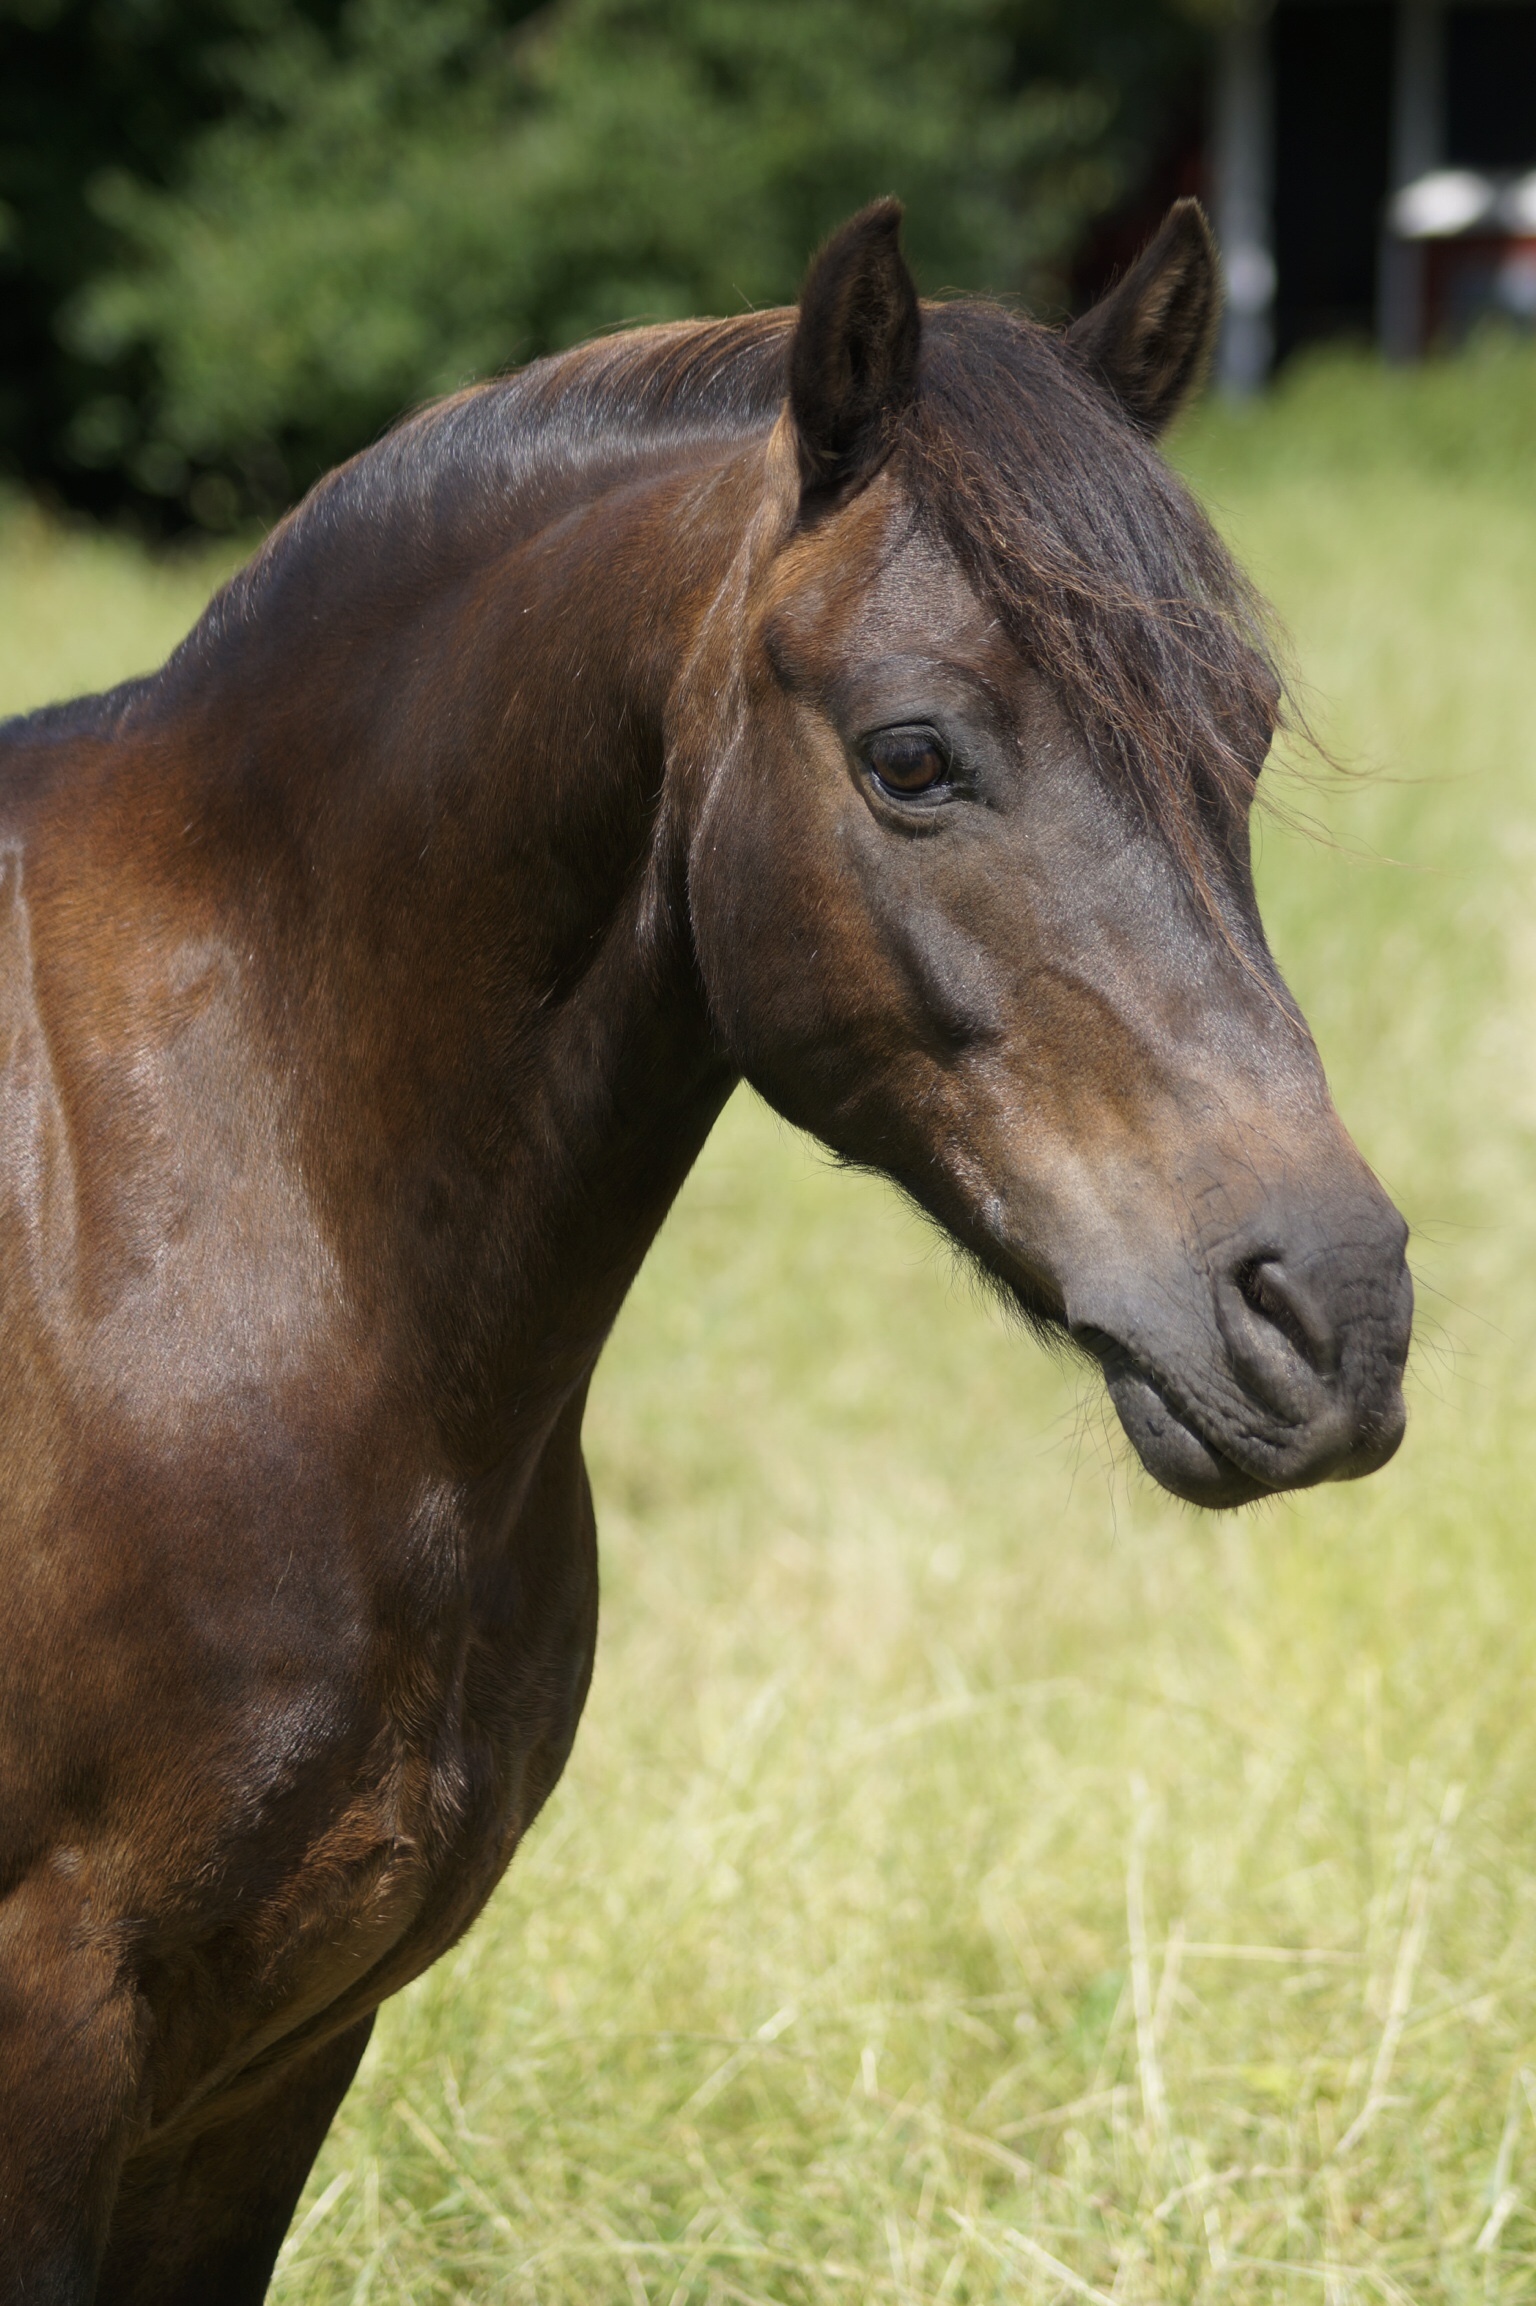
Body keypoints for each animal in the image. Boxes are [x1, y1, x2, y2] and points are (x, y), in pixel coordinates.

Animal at [0, 207, 1402, 2296]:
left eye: (1234, 741)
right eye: (913, 757)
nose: (1336, 1311)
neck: (177, 1215)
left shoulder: (268, 2067)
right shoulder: (63, 2042)